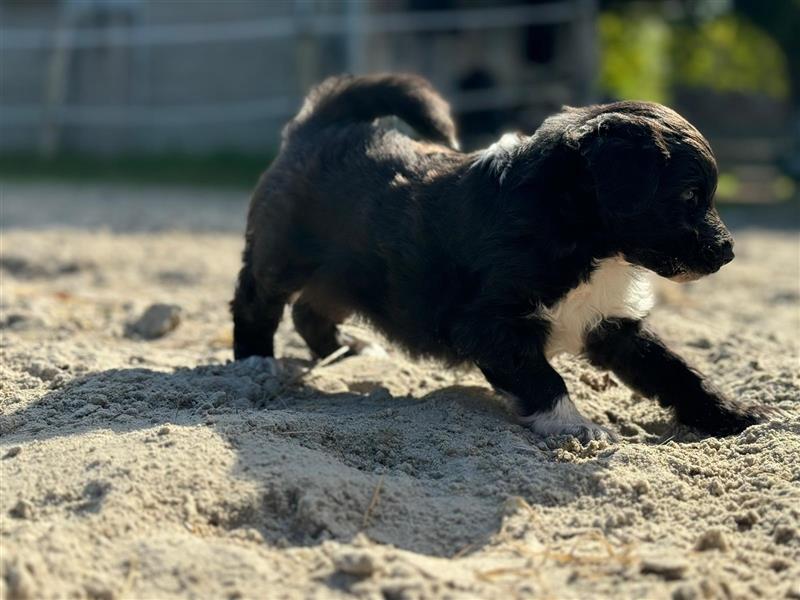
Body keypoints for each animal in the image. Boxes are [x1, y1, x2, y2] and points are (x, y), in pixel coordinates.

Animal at [230, 74, 764, 440]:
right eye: (690, 196)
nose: (728, 252)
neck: (580, 236)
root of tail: (321, 124)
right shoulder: (492, 324)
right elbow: (544, 379)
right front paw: (579, 428)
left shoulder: (612, 324)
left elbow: (674, 370)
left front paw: (732, 413)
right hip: (282, 254)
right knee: (257, 302)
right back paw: (254, 363)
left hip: (352, 272)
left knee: (311, 310)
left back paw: (350, 350)